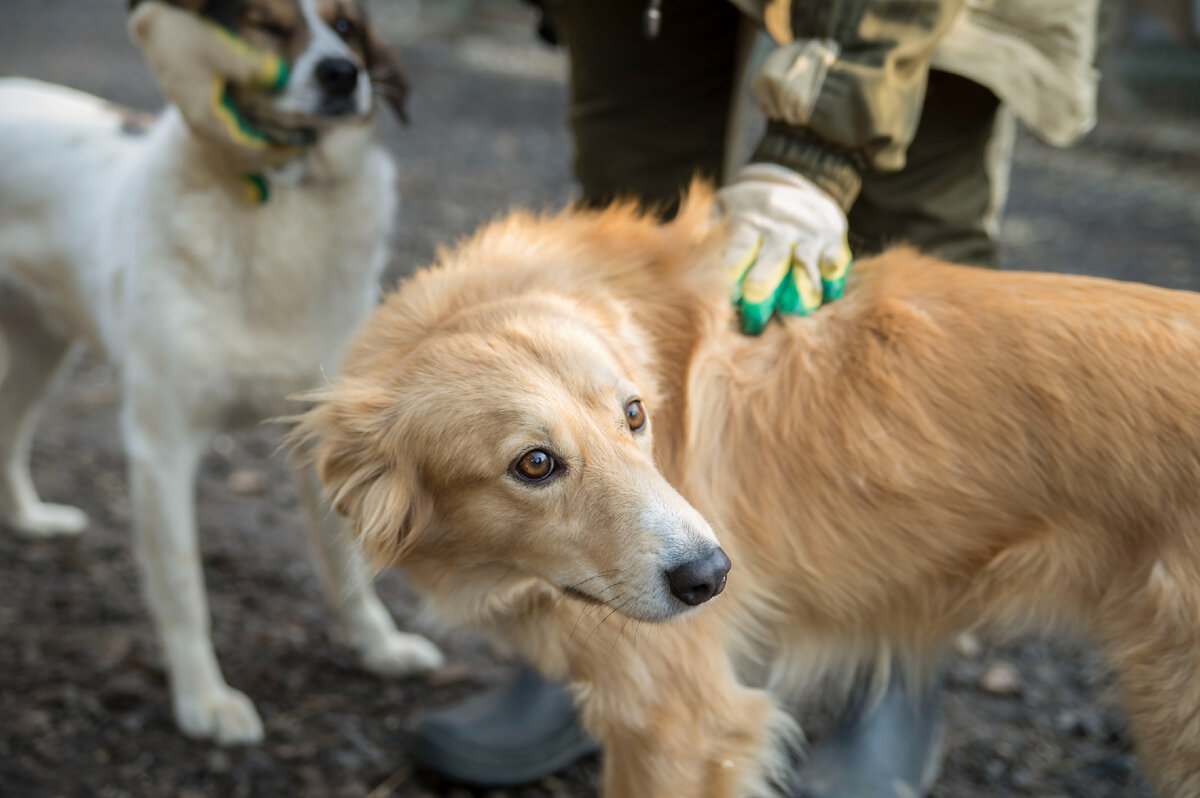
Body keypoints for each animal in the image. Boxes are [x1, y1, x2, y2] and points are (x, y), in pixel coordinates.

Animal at [0, 0, 444, 748]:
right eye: (266, 24)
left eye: (346, 28)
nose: (341, 75)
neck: (281, 207)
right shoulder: (162, 446)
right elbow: (184, 591)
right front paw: (203, 700)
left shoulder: (329, 437)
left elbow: (348, 567)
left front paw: (378, 647)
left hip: (43, 346)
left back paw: (28, 518)